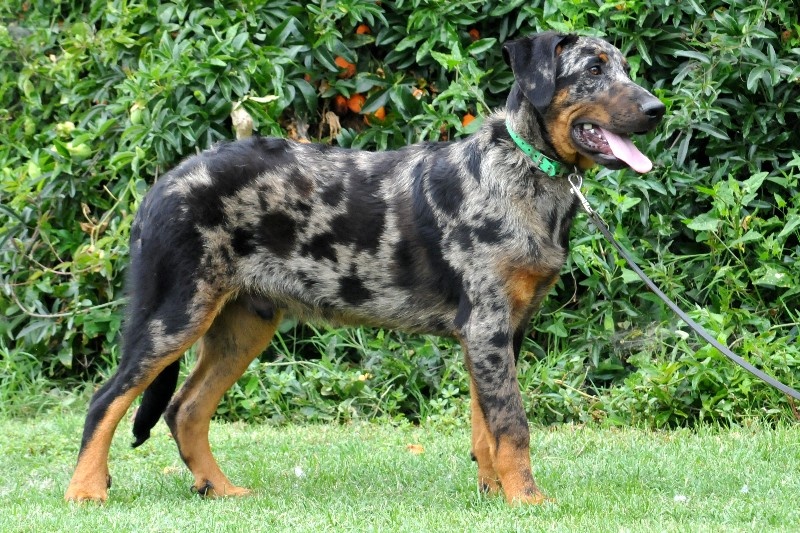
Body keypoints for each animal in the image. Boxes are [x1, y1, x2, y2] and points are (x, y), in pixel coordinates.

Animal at [65, 32, 664, 504]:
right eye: (593, 70)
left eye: (625, 68)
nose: (657, 109)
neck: (526, 169)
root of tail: (160, 186)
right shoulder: (488, 323)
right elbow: (512, 425)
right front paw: (528, 500)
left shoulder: (499, 330)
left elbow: (484, 424)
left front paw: (494, 493)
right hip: (175, 309)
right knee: (105, 399)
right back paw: (86, 491)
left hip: (244, 322)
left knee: (185, 409)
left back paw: (221, 489)